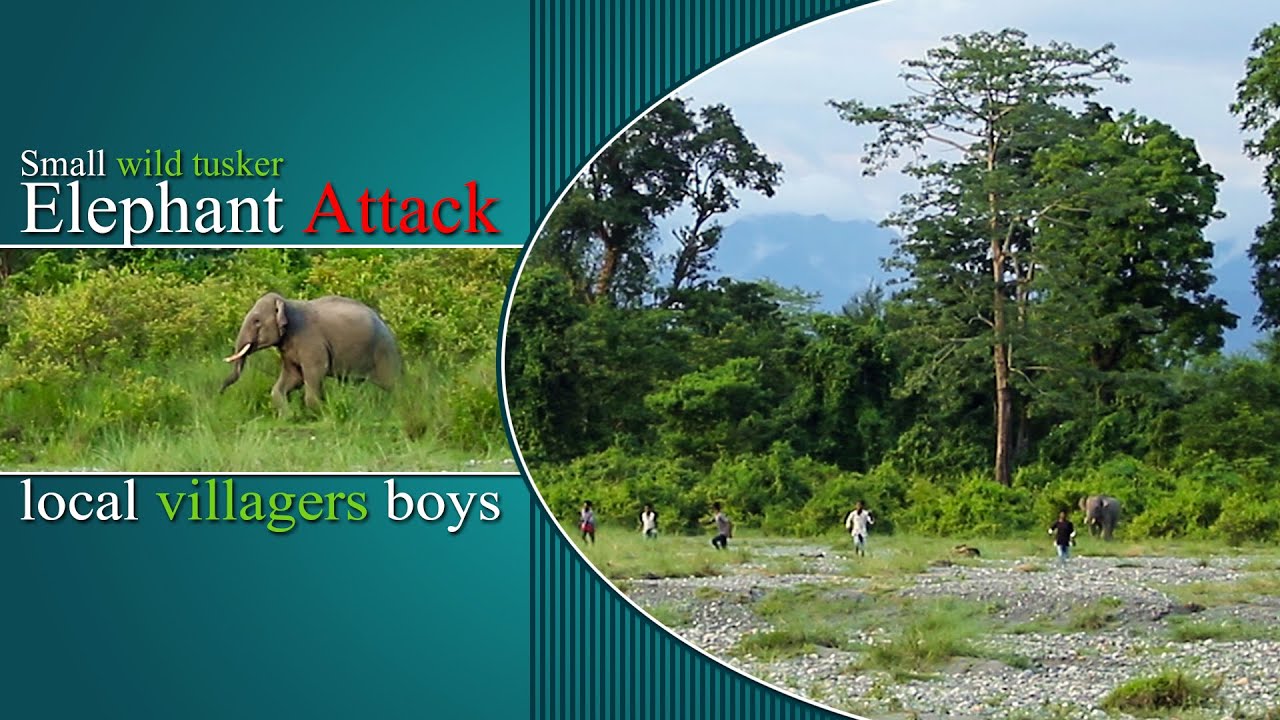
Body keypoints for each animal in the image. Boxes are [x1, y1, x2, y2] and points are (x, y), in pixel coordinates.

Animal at [220, 292, 401, 414]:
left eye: (257, 321)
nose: (220, 392)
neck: (287, 302)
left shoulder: (311, 341)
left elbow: (315, 371)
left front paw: (320, 411)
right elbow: (293, 376)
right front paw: (290, 416)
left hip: (383, 350)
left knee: (394, 384)